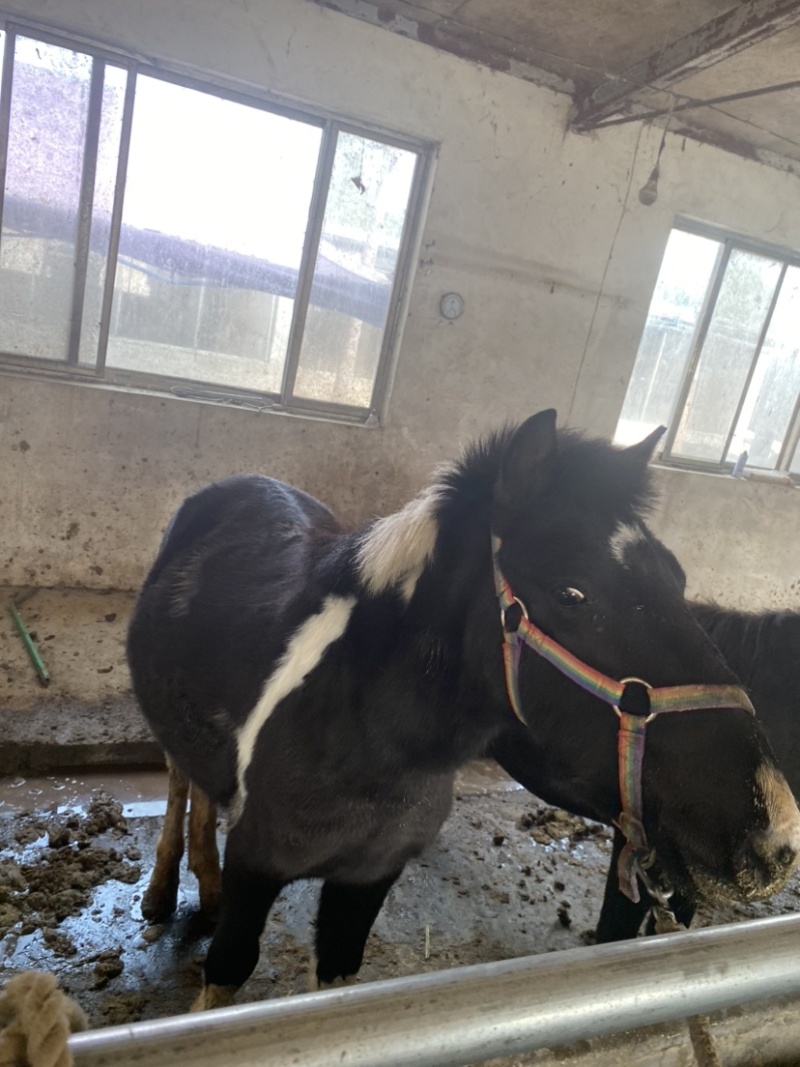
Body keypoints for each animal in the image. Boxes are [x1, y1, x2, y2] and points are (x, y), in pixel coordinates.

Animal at [127, 410, 800, 1009]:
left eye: (678, 579)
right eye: (572, 594)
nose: (776, 831)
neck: (361, 741)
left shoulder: (366, 881)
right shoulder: (256, 868)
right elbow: (226, 972)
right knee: (180, 779)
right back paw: (165, 891)